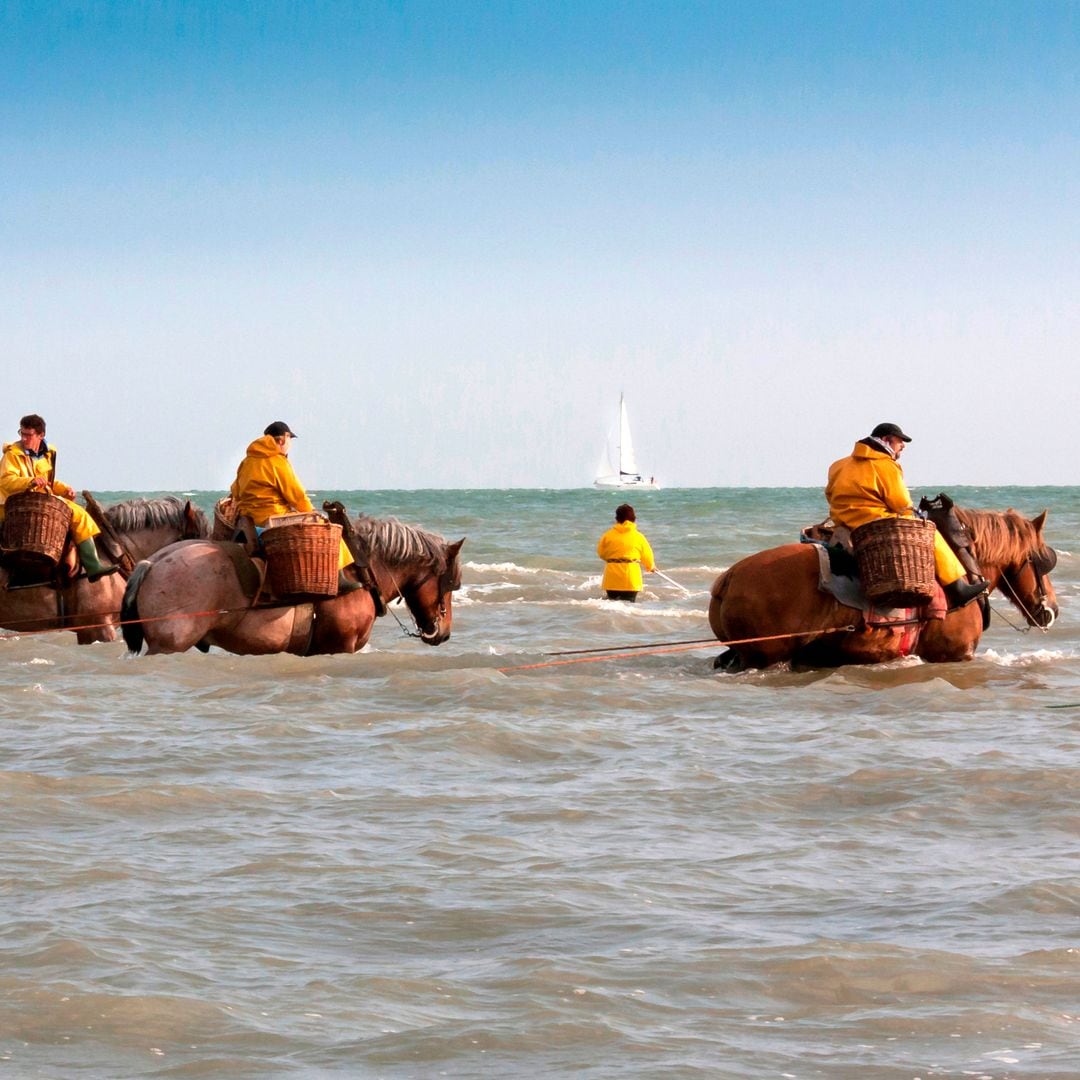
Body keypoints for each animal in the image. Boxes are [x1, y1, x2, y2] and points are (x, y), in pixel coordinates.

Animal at [119, 514, 464, 656]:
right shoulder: (341, 647)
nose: (444, 632)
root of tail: (152, 563)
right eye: (450, 584)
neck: (361, 570)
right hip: (167, 646)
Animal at [708, 507, 1054, 673]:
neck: (966, 565)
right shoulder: (954, 655)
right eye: (1042, 560)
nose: (1052, 610)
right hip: (765, 657)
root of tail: (729, 578)